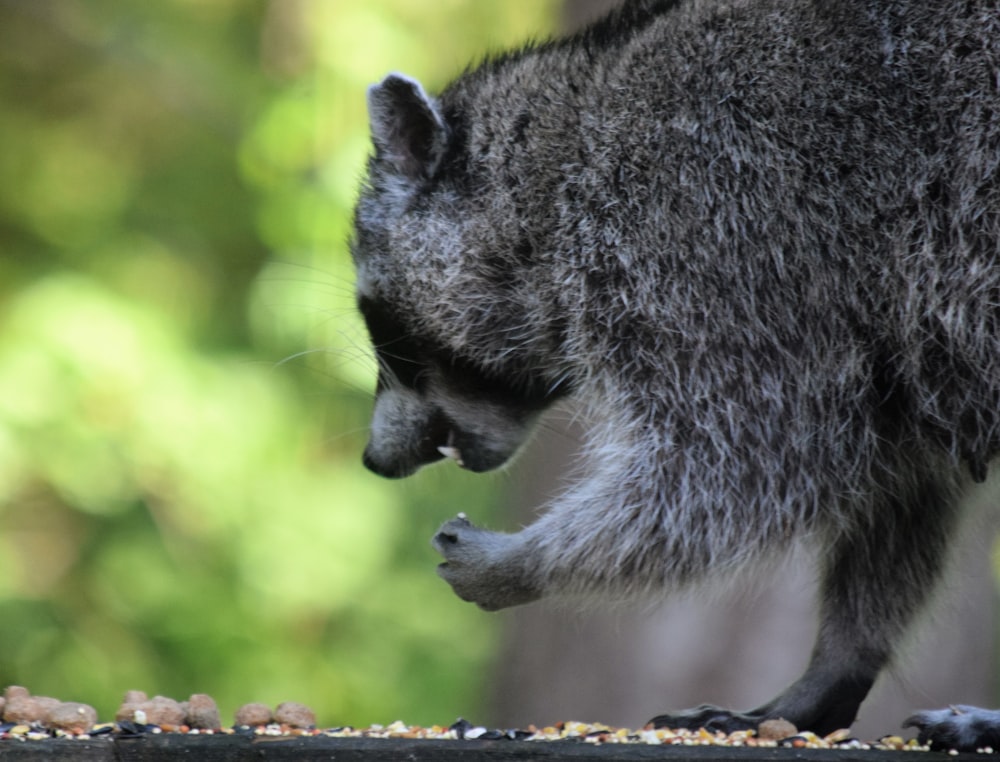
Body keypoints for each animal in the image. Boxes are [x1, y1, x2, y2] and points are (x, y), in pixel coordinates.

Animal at [348, 0, 1000, 748]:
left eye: (380, 323)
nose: (373, 460)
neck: (562, 162)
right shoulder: (878, 336)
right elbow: (904, 483)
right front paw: (841, 659)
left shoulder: (720, 230)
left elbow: (749, 458)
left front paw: (531, 560)